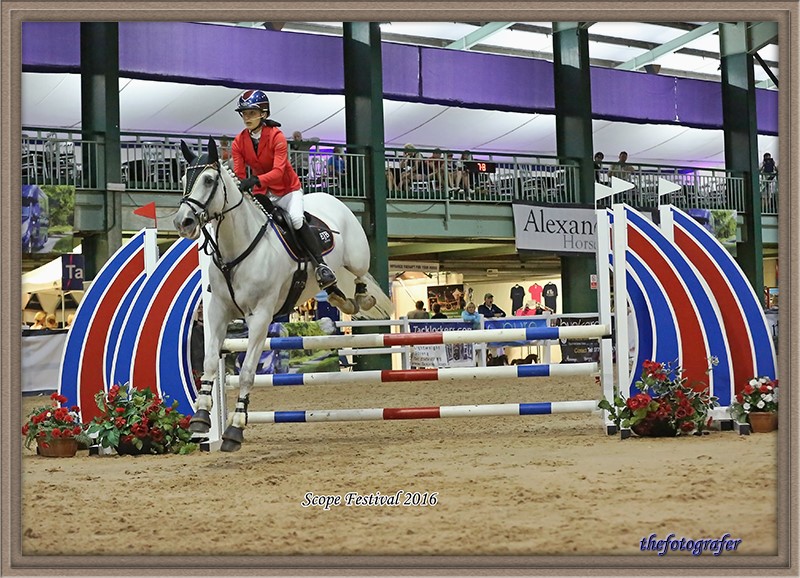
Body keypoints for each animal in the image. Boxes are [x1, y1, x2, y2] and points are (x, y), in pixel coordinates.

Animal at [173, 138, 378, 450]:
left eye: (208, 180)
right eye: (184, 180)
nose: (183, 222)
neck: (236, 248)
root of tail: (332, 198)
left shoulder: (260, 315)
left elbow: (247, 372)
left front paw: (235, 429)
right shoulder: (218, 310)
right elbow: (209, 362)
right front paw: (201, 418)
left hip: (356, 257)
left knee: (361, 274)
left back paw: (361, 296)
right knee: (339, 285)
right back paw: (338, 297)